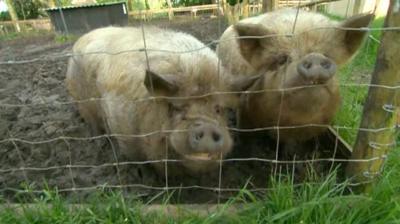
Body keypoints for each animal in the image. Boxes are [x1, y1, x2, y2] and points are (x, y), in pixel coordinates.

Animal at [65, 26, 260, 175]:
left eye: (219, 109)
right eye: (177, 107)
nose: (206, 126)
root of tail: (80, 40)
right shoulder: (123, 131)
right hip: (81, 101)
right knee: (92, 123)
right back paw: (99, 142)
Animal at [217, 8, 374, 145]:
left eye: (327, 55)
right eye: (282, 59)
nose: (315, 56)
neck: (287, 125)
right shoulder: (245, 115)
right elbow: (248, 141)